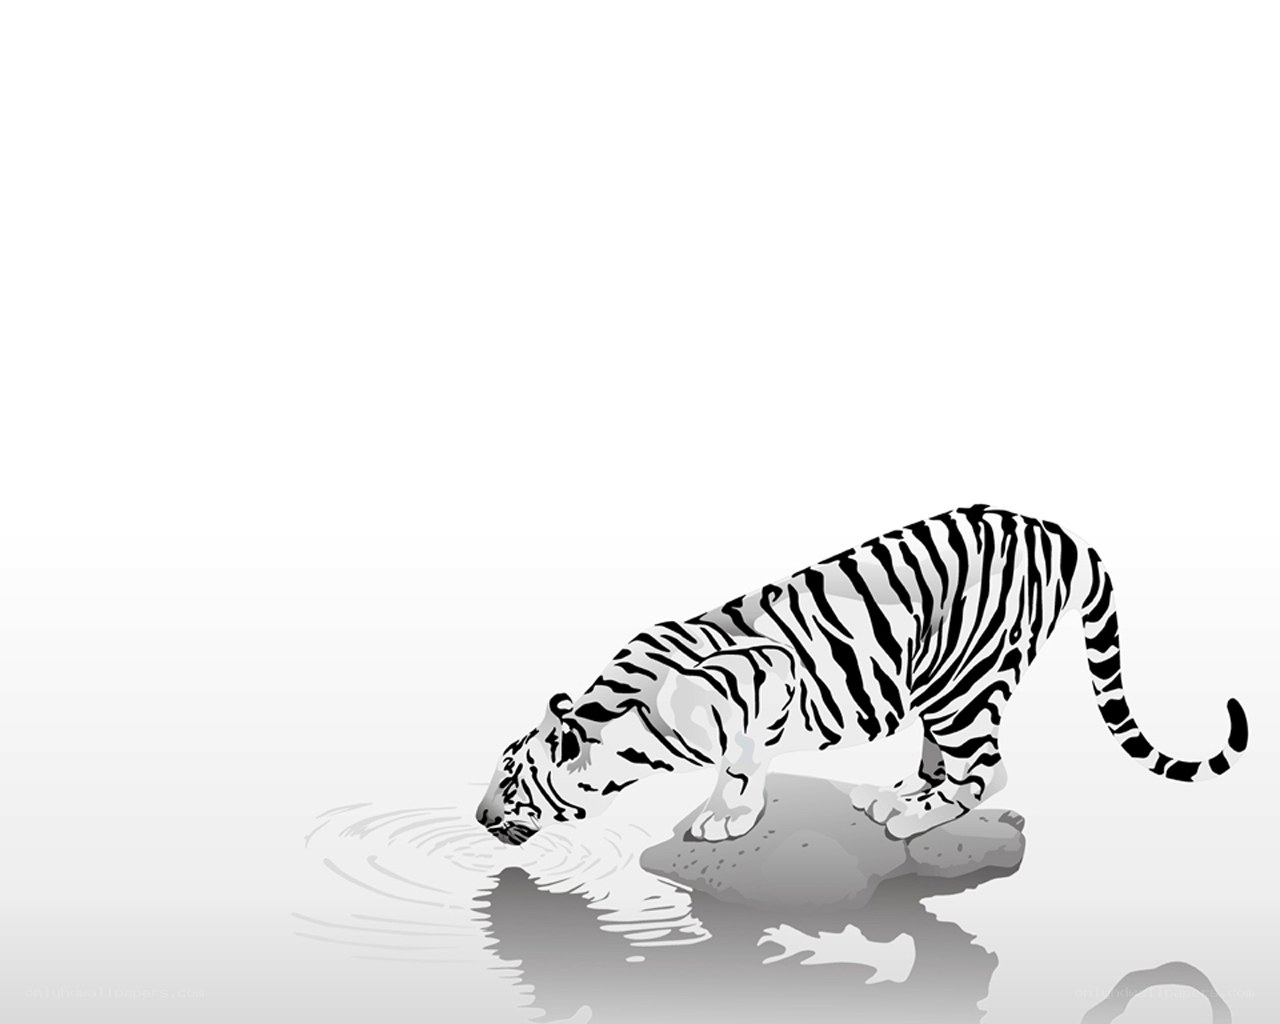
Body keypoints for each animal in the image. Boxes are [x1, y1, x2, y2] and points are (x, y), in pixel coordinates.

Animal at [475, 505, 1249, 846]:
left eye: (511, 782)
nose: (479, 817)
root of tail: (1052, 528)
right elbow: (743, 762)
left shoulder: (768, 677)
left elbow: (743, 763)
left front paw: (728, 817)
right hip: (941, 682)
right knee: (951, 758)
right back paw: (897, 791)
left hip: (965, 683)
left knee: (987, 771)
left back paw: (913, 816)